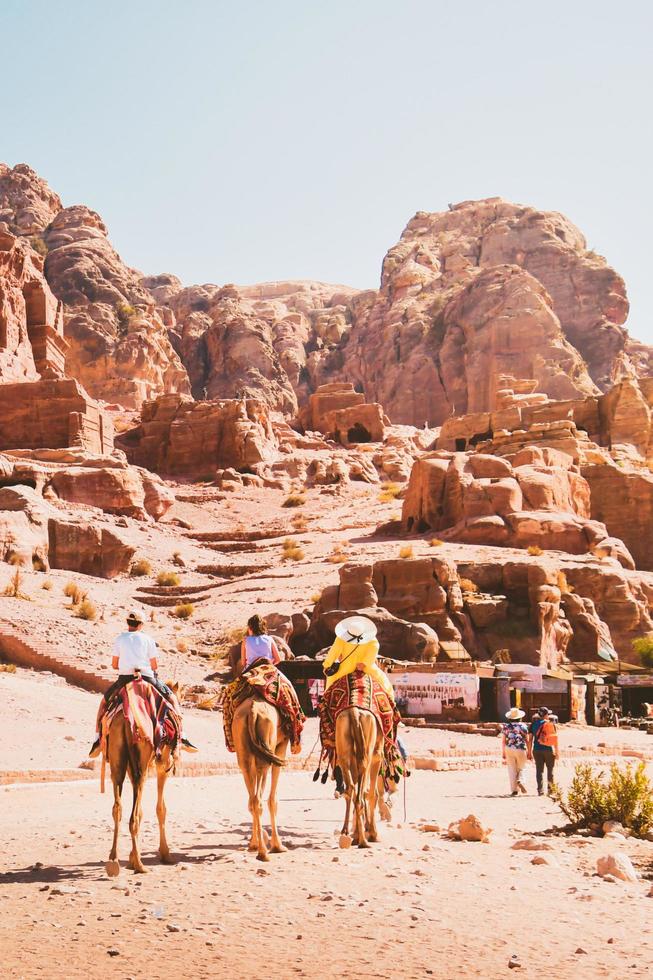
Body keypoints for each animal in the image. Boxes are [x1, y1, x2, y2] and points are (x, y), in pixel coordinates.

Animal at [103, 708, 173, 876]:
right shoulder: (164, 764)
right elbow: (161, 809)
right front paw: (165, 853)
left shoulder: (131, 768)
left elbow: (141, 810)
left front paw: (131, 858)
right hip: (142, 763)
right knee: (133, 817)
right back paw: (140, 866)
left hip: (117, 760)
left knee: (117, 808)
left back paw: (113, 860)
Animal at [232, 692, 288, 860]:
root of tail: (253, 711)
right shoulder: (280, 747)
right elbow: (273, 800)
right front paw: (278, 846)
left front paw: (253, 844)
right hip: (266, 752)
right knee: (259, 799)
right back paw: (263, 853)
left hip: (243, 752)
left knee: (252, 799)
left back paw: (257, 846)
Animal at [334, 704, 384, 848]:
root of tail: (354, 712)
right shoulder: (377, 756)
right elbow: (372, 794)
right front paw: (373, 834)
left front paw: (355, 833)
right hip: (368, 752)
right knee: (361, 796)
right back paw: (363, 841)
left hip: (343, 750)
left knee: (350, 789)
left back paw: (348, 832)